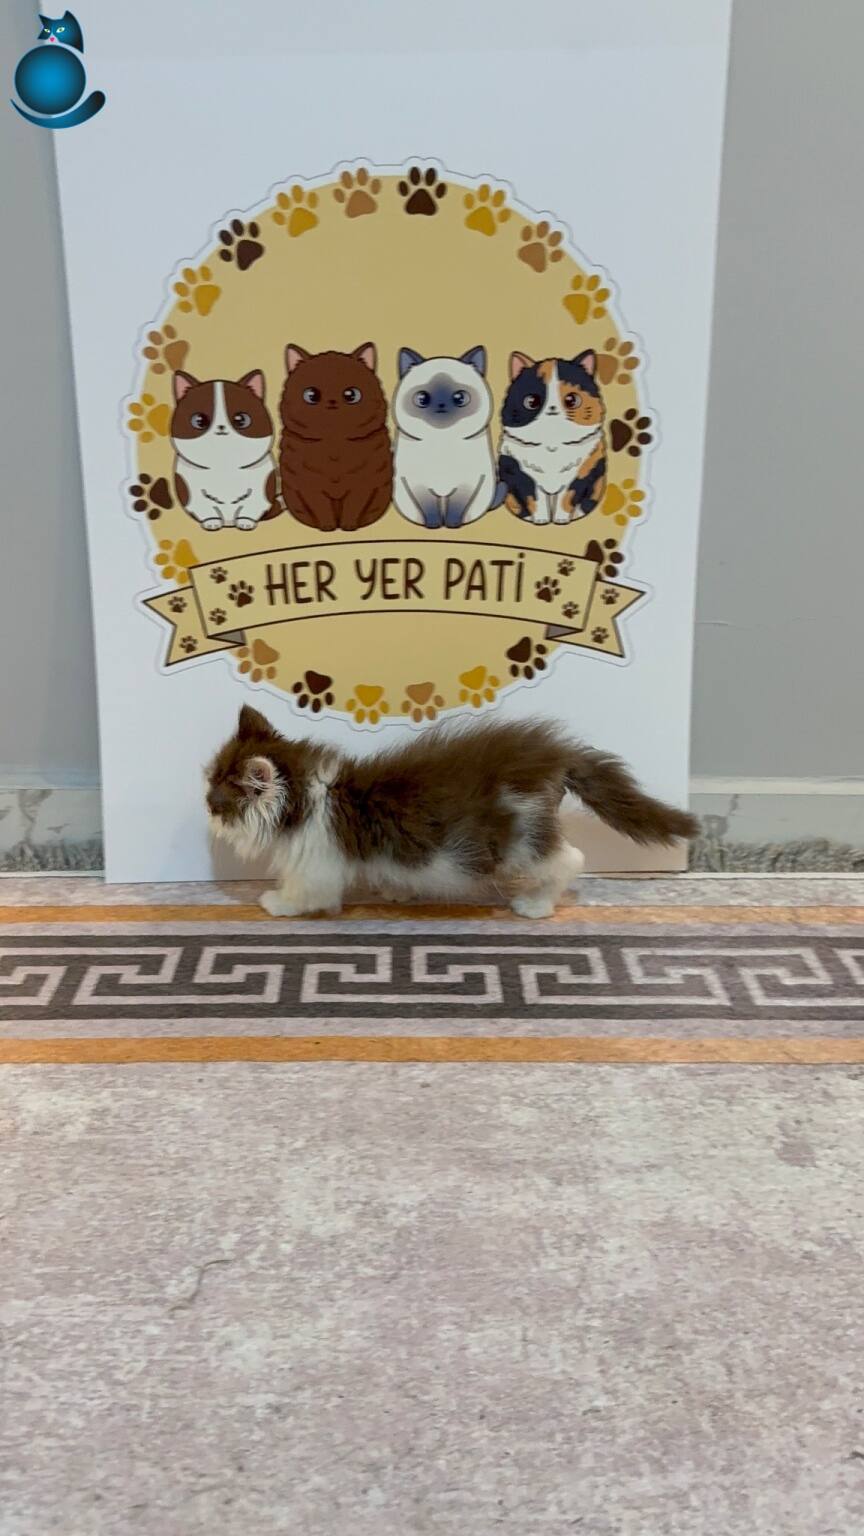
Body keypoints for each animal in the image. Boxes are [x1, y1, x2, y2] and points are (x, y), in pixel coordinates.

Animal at [171, 370, 279, 532]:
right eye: (199, 421)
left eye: (241, 420)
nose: (221, 427)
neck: (224, 463)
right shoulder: (192, 493)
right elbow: (206, 509)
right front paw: (212, 522)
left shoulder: (261, 490)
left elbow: (249, 508)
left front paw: (246, 522)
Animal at [206, 705, 697, 919]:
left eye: (216, 801)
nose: (206, 811)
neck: (307, 800)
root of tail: (553, 755)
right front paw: (395, 891)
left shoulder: (318, 863)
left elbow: (305, 892)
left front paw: (275, 902)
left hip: (521, 835)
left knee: (569, 860)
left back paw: (535, 904)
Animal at [279, 344, 392, 531]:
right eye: (312, 395)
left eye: (351, 395)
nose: (332, 401)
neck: (334, 440)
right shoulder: (311, 488)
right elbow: (321, 508)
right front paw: (327, 526)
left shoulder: (362, 486)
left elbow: (353, 507)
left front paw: (348, 526)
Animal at [392, 346, 504, 528]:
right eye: (422, 398)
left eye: (459, 398)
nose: (441, 405)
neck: (442, 442)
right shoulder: (418, 487)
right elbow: (429, 509)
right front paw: (433, 525)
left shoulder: (467, 485)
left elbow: (457, 509)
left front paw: (452, 525)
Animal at [498, 350, 607, 525]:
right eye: (532, 401)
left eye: (571, 400)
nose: (552, 408)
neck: (552, 443)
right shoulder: (522, 476)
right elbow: (535, 500)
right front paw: (541, 520)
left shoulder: (580, 476)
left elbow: (566, 499)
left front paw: (561, 520)